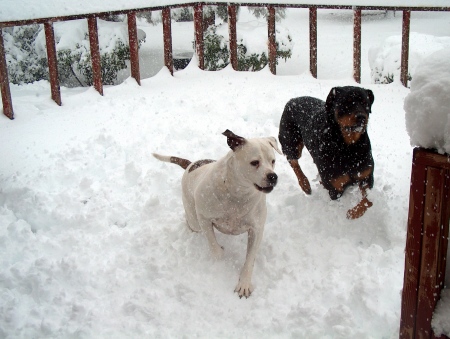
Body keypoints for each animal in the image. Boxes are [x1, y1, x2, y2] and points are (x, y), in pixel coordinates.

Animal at [155, 129, 282, 298]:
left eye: (273, 161)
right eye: (254, 162)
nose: (273, 176)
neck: (239, 194)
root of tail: (191, 164)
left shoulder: (256, 230)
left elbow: (250, 259)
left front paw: (244, 284)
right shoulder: (204, 218)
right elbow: (214, 246)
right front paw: (219, 253)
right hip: (194, 219)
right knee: (192, 223)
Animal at [280, 87, 374, 220]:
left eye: (365, 103)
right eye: (346, 103)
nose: (361, 117)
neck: (349, 147)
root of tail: (292, 100)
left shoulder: (366, 176)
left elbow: (368, 201)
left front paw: (354, 212)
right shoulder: (335, 187)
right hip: (290, 139)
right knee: (292, 160)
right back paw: (305, 184)